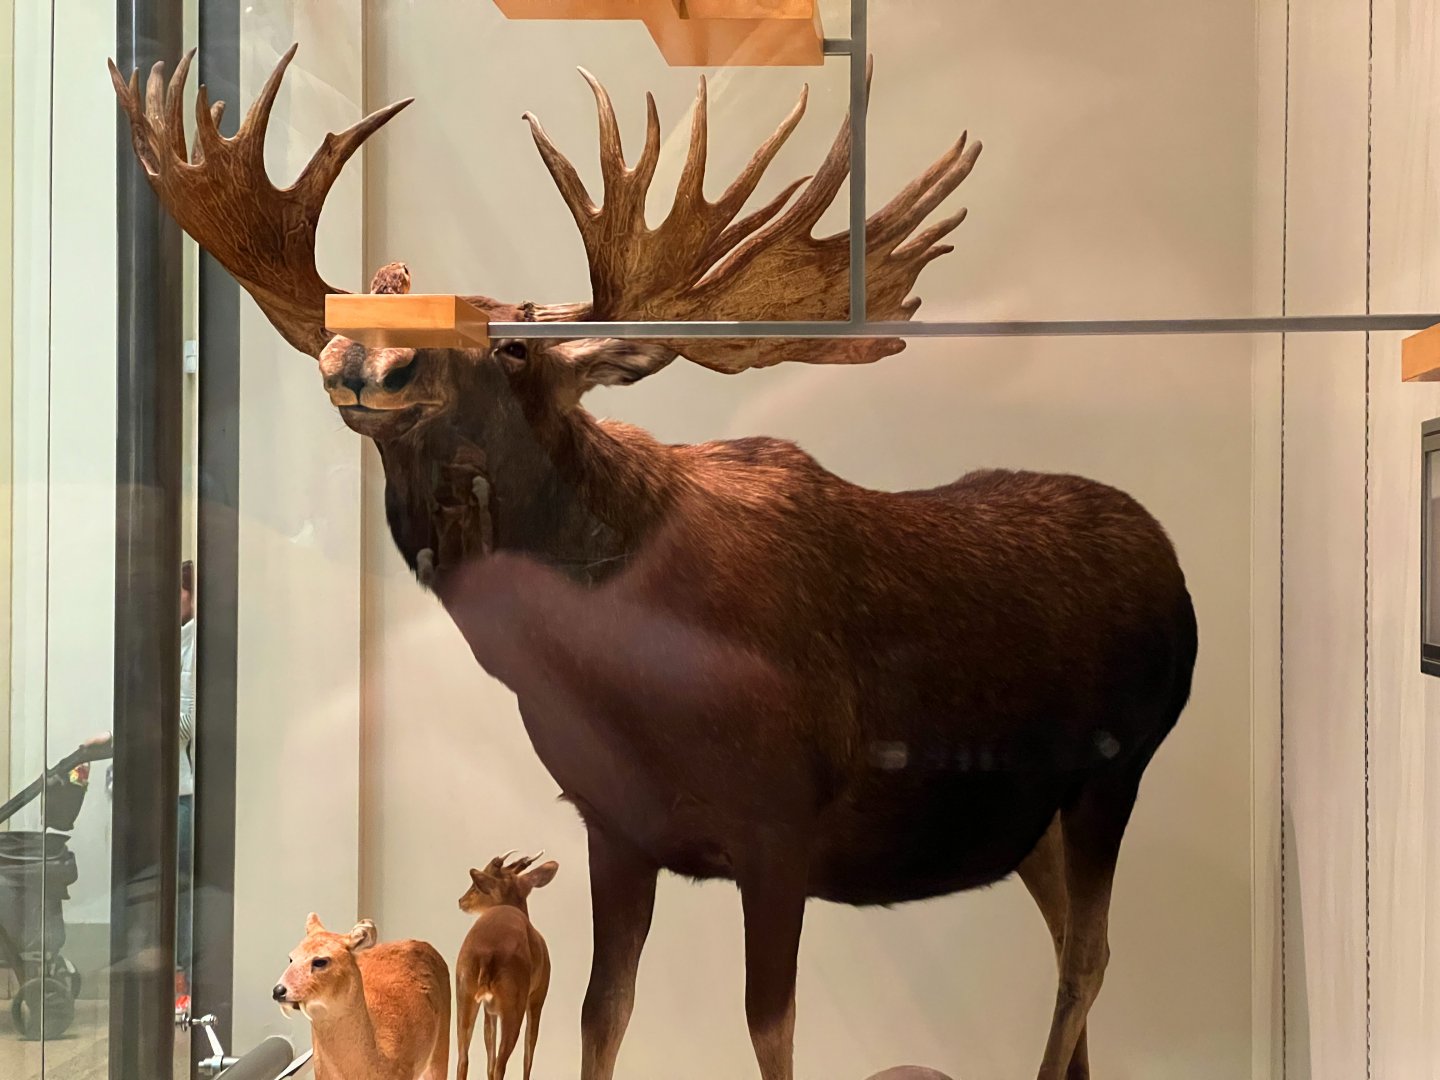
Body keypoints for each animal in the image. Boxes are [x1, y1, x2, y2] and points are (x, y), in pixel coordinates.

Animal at [455, 851, 560, 1080]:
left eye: (476, 886)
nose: (461, 900)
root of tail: (487, 952)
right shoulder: (537, 998)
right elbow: (528, 1054)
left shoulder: (490, 1010)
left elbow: (489, 1058)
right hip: (513, 1008)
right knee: (501, 1065)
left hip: (465, 997)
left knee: (464, 1060)